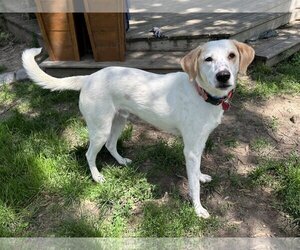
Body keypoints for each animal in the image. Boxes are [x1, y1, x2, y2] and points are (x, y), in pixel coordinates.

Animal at [22, 40, 254, 218]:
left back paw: (122, 161)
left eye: (232, 55)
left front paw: (201, 176)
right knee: (90, 154)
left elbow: (196, 173)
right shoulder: (190, 150)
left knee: (111, 145)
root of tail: (89, 78)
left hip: (119, 120)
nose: (223, 76)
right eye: (208, 59)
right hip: (100, 128)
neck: (200, 92)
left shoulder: (199, 144)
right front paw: (198, 209)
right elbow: (193, 187)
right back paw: (97, 177)